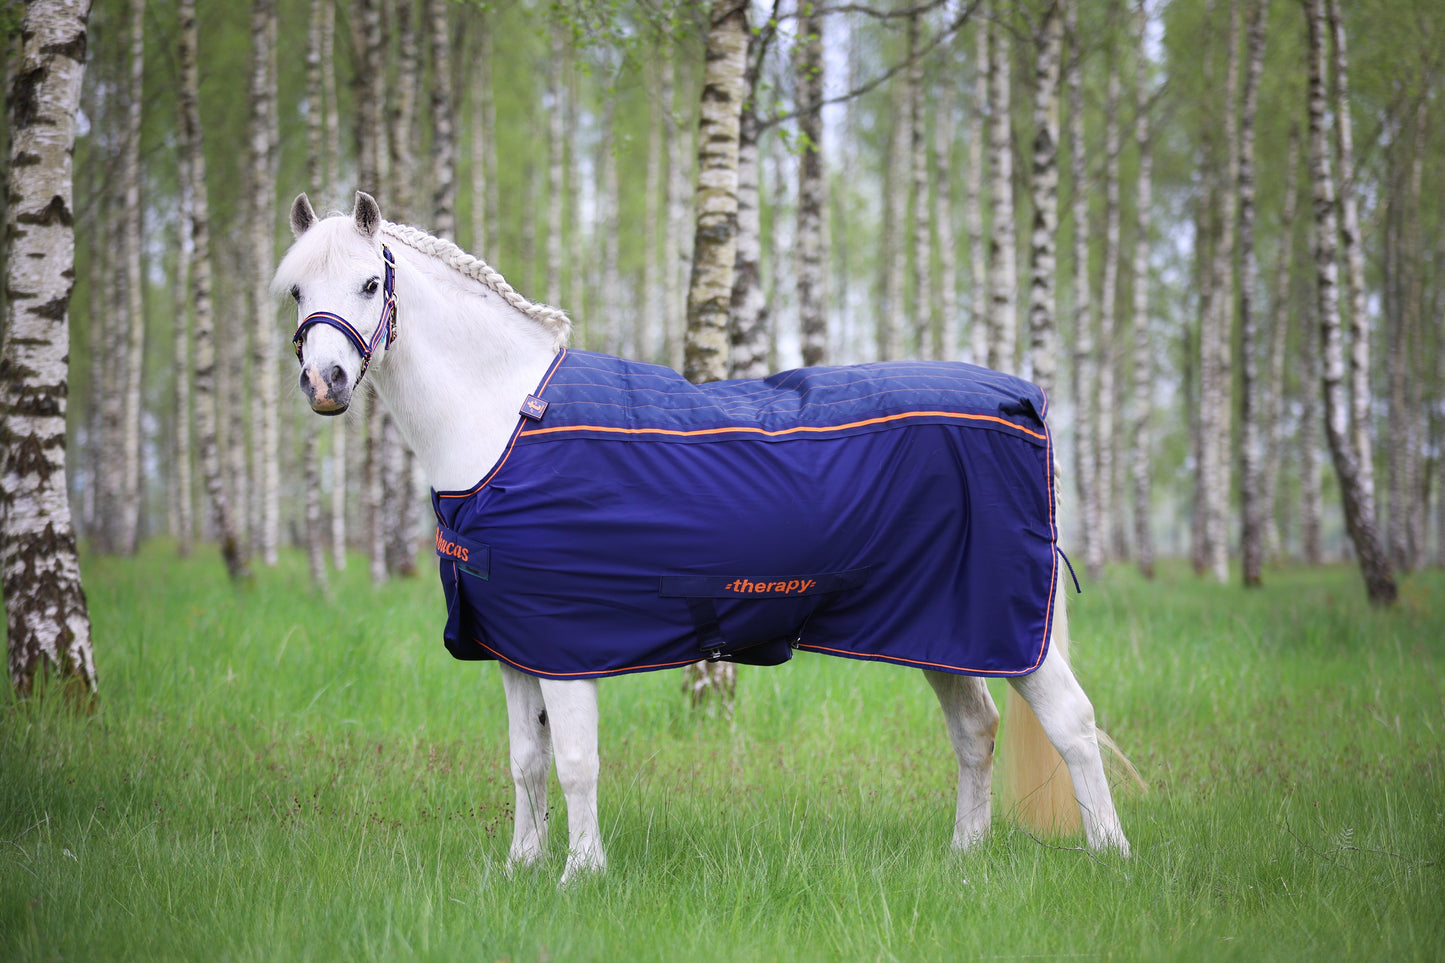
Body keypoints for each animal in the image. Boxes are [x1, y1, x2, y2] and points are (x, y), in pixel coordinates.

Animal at [275, 191, 1132, 885]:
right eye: (296, 289)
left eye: (371, 283)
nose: (325, 384)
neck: (505, 421)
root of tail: (1023, 398)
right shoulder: (511, 640)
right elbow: (526, 760)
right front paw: (521, 865)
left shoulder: (563, 639)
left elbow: (576, 761)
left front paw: (580, 874)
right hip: (937, 625)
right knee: (974, 728)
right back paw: (963, 856)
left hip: (1009, 626)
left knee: (1072, 722)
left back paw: (1109, 855)